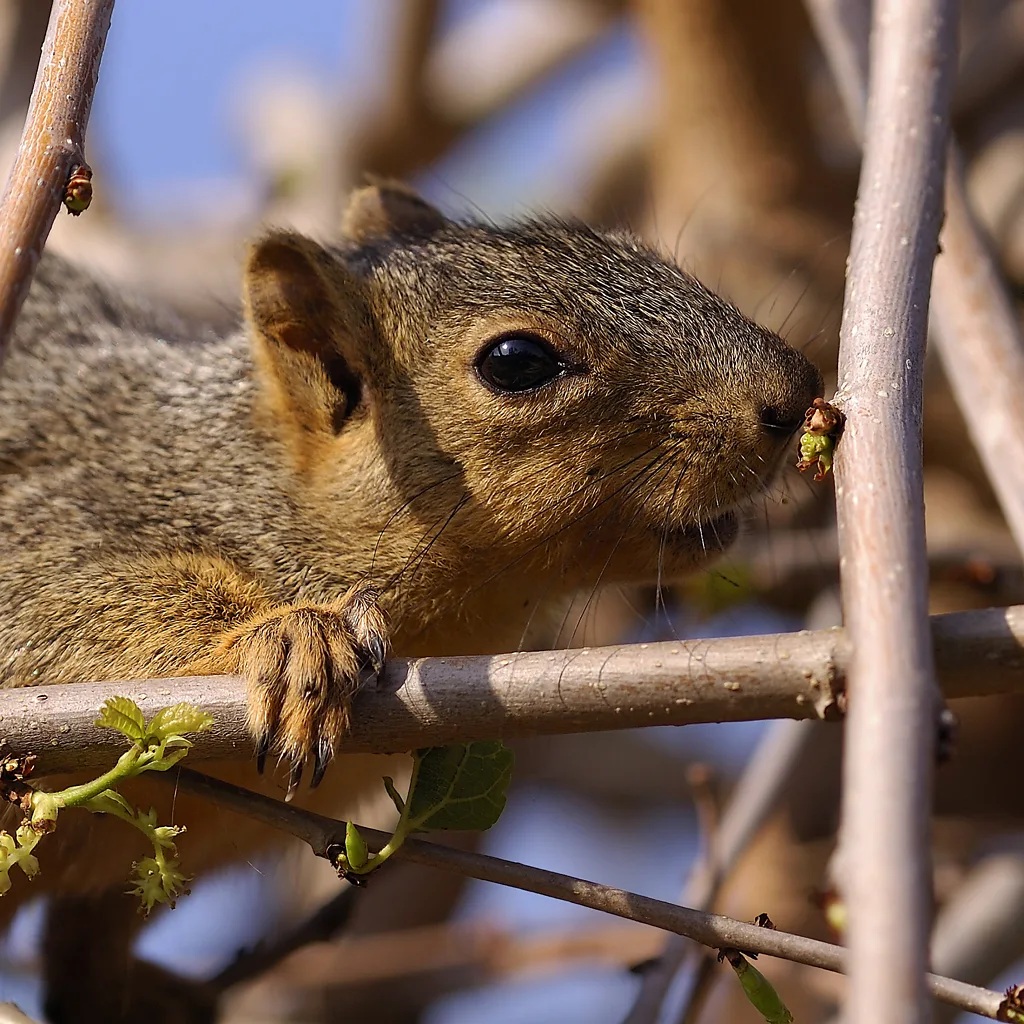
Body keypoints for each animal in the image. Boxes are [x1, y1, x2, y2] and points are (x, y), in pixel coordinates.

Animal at [0, 182, 820, 1022]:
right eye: (516, 362)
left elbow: (84, 954)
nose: (795, 393)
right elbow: (44, 609)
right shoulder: (56, 512)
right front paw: (293, 639)